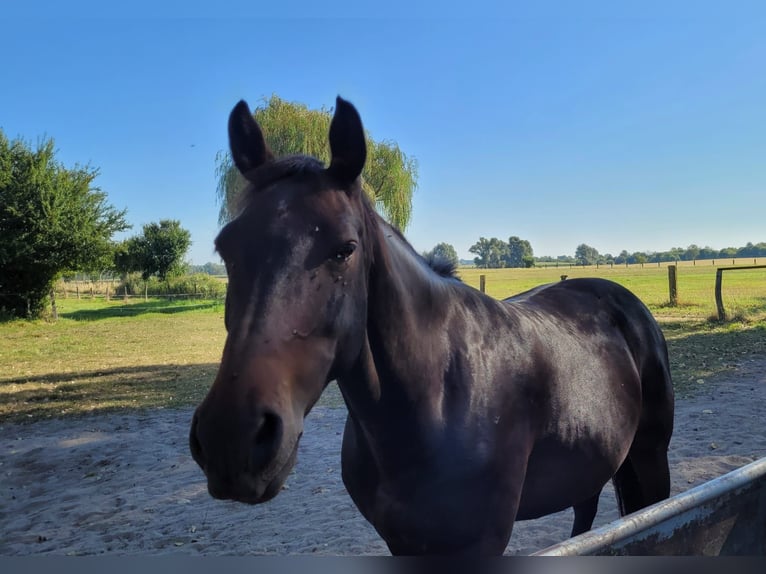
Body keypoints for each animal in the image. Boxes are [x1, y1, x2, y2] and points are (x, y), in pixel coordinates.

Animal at [189, 98, 676, 560]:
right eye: (225, 247)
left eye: (345, 249)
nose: (232, 438)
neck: (436, 398)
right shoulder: (403, 541)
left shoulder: (478, 545)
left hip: (651, 460)